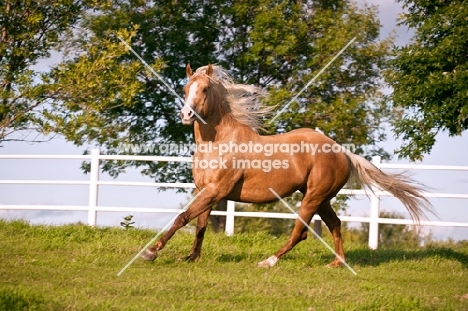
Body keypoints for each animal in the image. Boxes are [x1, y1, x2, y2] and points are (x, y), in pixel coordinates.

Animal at [140, 64, 436, 268]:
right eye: (184, 89)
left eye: (204, 89)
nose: (186, 115)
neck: (219, 142)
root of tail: (341, 151)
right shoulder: (205, 190)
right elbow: (200, 224)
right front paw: (191, 257)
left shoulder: (216, 191)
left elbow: (183, 218)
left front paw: (151, 252)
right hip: (320, 198)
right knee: (335, 224)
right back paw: (337, 263)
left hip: (313, 198)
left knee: (300, 233)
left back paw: (268, 261)